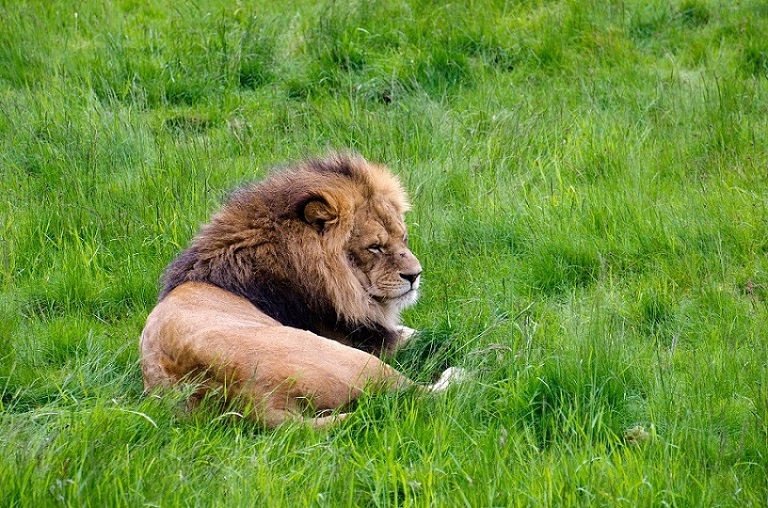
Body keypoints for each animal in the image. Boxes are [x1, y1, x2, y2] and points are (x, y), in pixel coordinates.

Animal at [139, 153, 462, 428]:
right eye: (375, 247)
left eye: (403, 238)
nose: (415, 275)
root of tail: (253, 401)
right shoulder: (368, 339)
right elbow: (424, 338)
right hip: (352, 359)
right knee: (416, 394)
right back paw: (461, 373)